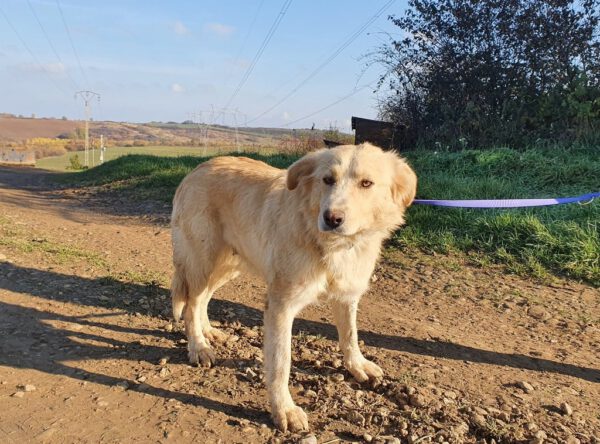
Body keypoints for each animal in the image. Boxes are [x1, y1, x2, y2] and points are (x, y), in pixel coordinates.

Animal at [170, 144, 418, 432]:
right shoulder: (280, 306)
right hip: (203, 260)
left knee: (203, 298)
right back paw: (198, 346)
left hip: (229, 264)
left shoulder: (347, 296)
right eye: (327, 179)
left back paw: (209, 331)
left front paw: (357, 365)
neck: (330, 244)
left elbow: (350, 335)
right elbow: (281, 363)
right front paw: (284, 410)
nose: (332, 218)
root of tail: (197, 169)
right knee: (191, 302)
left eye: (366, 183)